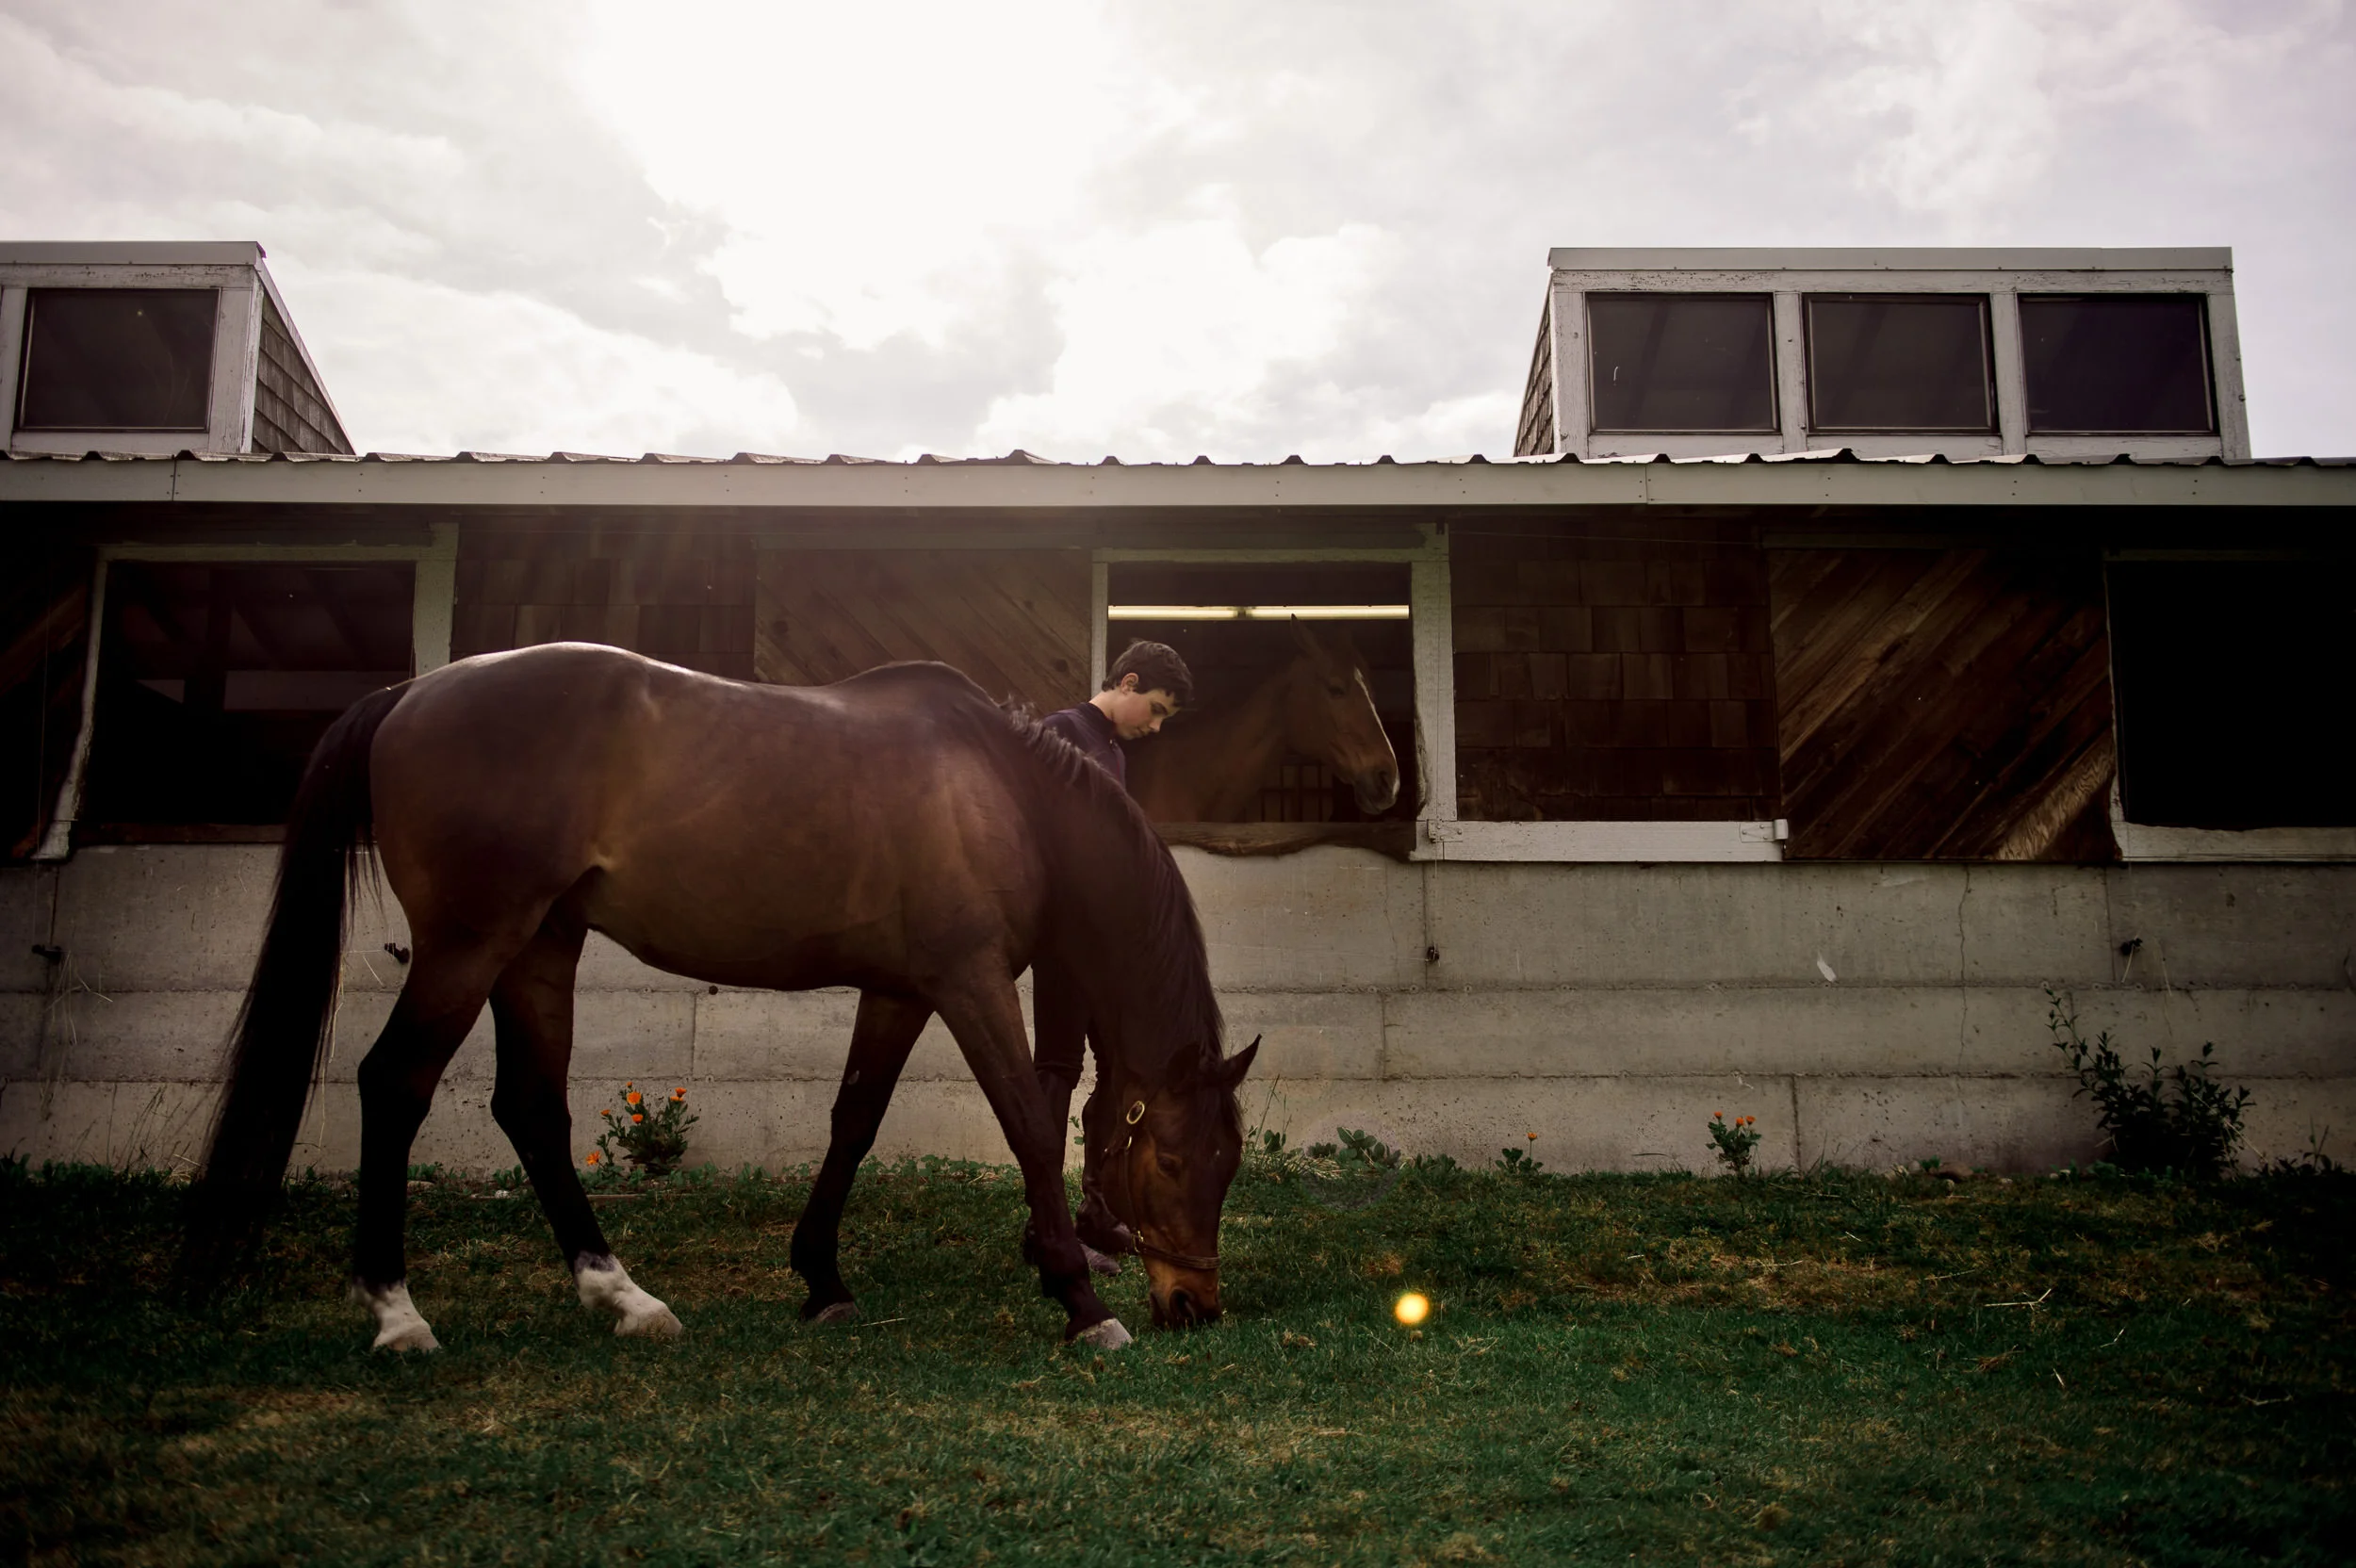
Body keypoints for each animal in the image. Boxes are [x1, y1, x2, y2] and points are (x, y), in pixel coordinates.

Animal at [183, 642, 1258, 1352]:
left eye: (1228, 1162)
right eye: (1168, 1159)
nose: (1194, 1304)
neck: (1007, 793)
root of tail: (409, 693)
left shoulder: (899, 990)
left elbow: (854, 1120)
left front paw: (822, 1277)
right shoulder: (969, 980)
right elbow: (1030, 1124)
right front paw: (1081, 1300)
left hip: (541, 947)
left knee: (530, 1107)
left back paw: (622, 1296)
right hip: (469, 946)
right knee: (393, 1083)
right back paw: (398, 1312)